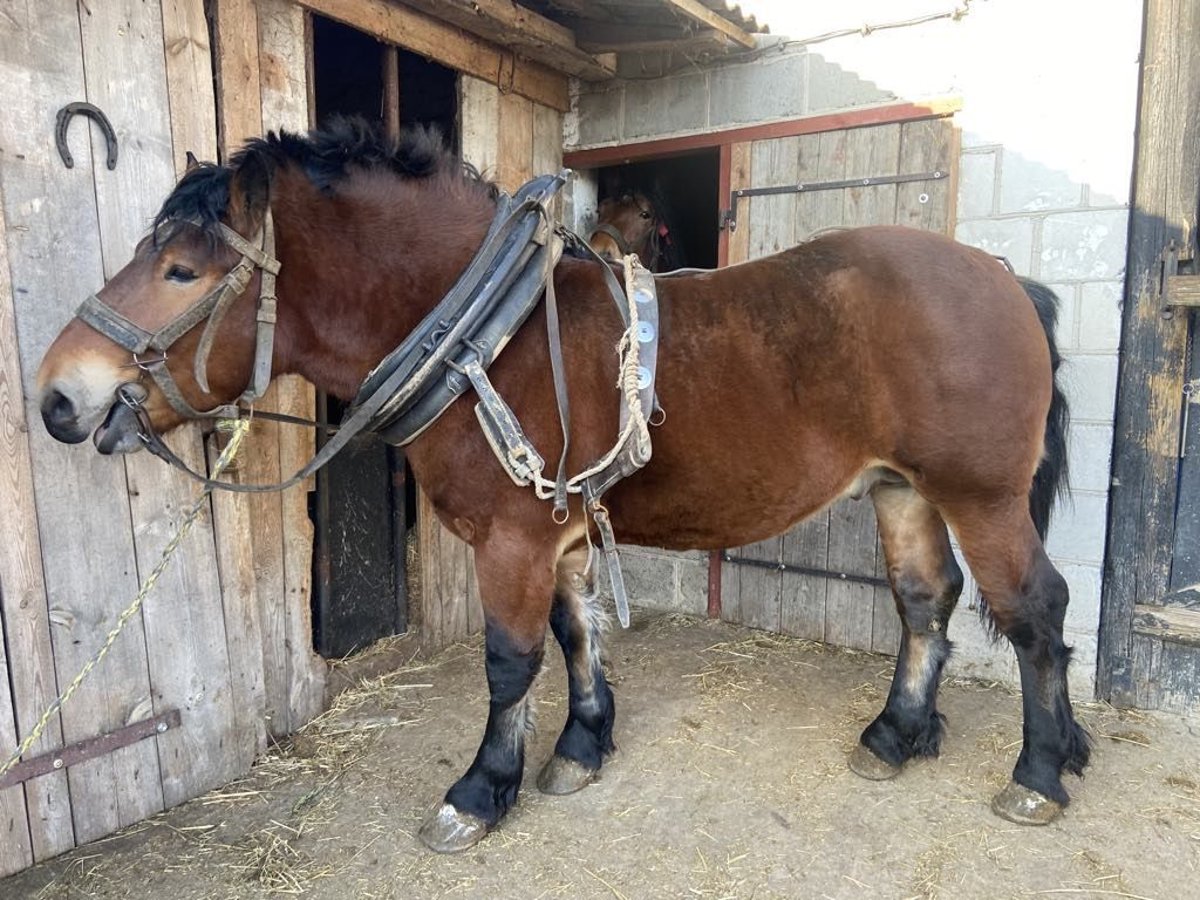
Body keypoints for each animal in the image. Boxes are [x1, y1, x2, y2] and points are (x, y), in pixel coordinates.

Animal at [37, 118, 1089, 854]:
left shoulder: (512, 539)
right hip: (903, 490)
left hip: (983, 498)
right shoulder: (562, 530)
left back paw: (1040, 770)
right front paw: (580, 747)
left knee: (1034, 611)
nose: (57, 397)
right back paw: (897, 733)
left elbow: (509, 664)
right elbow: (577, 635)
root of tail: (1005, 275)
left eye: (181, 270)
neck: (481, 341)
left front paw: (479, 791)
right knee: (926, 603)